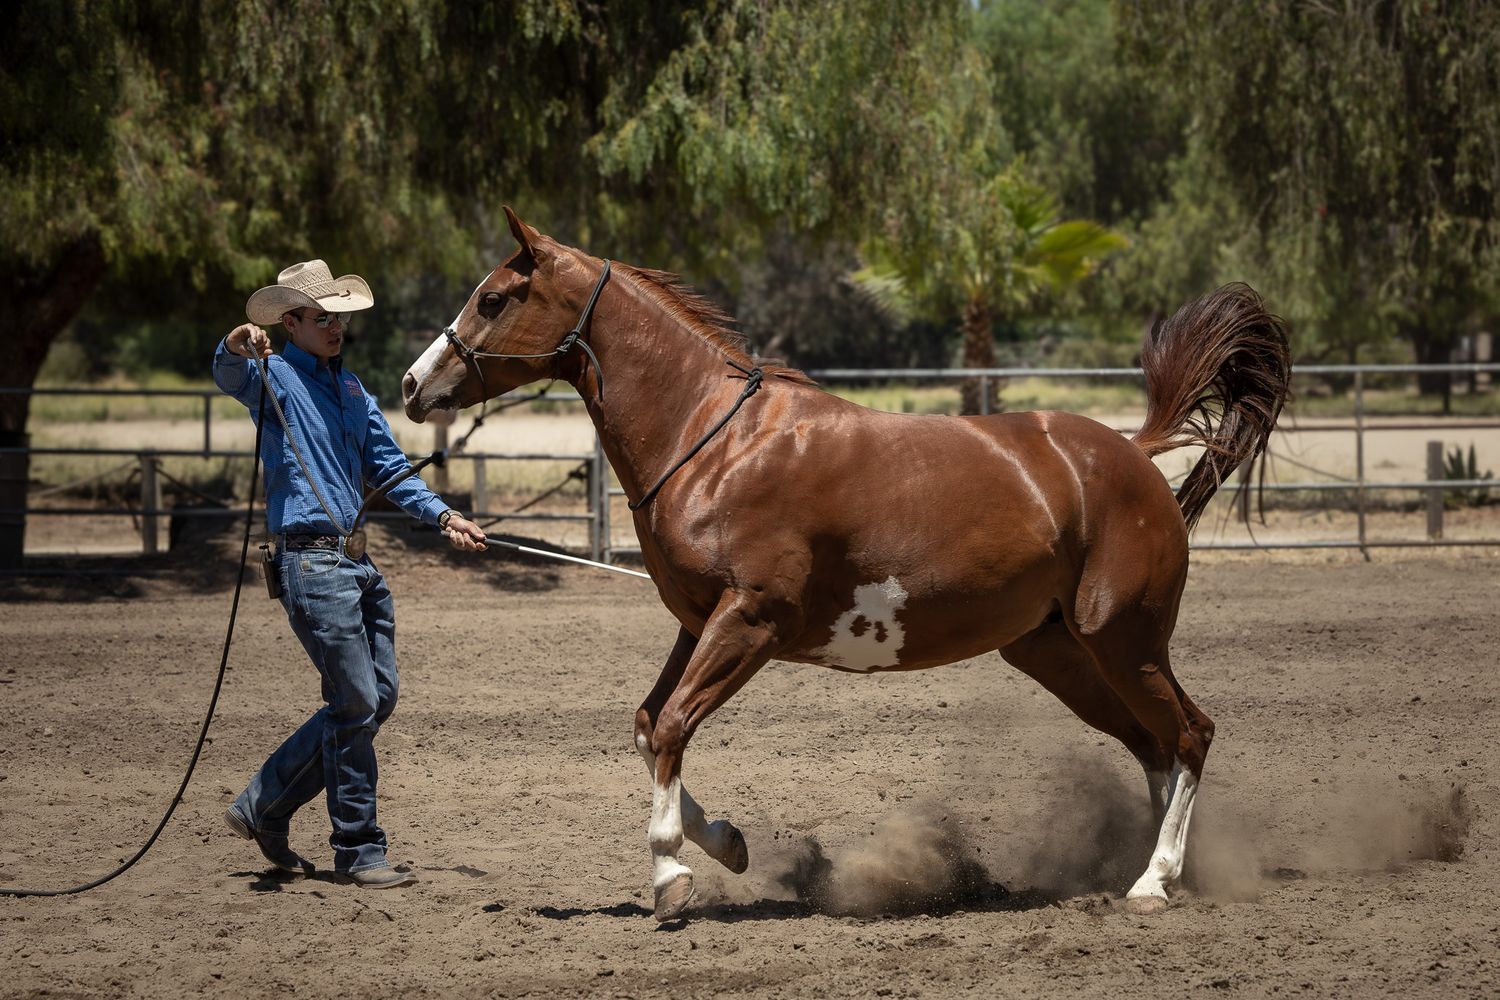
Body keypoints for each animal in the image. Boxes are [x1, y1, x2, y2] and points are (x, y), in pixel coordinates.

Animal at [401, 208, 1292, 920]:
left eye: (493, 298)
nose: (412, 386)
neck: (713, 441)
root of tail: (1133, 455)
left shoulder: (751, 621)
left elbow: (677, 724)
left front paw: (670, 875)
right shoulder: (697, 623)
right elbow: (651, 725)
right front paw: (726, 842)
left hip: (1124, 640)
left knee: (1191, 734)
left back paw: (1154, 881)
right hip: (1057, 651)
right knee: (1154, 744)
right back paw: (1164, 868)